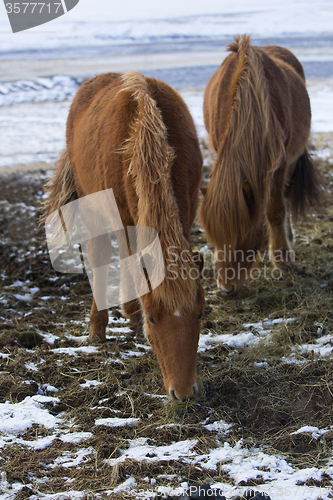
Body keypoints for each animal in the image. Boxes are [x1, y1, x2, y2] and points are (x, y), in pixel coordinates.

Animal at [44, 70, 202, 400]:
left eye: (199, 314)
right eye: (153, 317)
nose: (183, 392)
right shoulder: (124, 217)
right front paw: (134, 315)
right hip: (93, 207)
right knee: (102, 257)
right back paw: (98, 328)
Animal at [197, 35, 322, 296]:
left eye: (243, 235)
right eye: (213, 239)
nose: (225, 289)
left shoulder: (279, 164)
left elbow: (275, 210)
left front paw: (283, 259)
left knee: (285, 198)